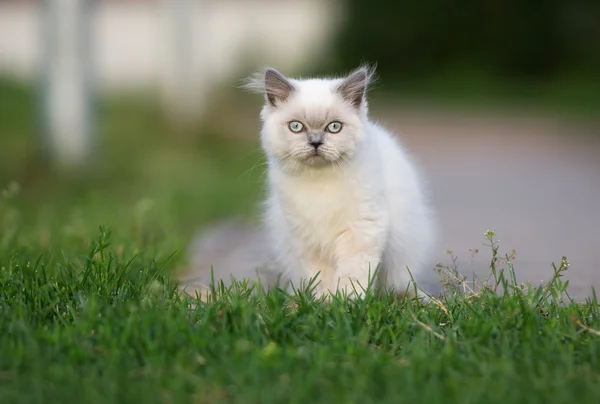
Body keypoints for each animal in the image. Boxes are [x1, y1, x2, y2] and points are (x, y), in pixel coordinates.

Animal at [246, 66, 438, 298]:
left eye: (334, 127)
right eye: (296, 127)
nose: (315, 142)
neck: (319, 183)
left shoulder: (361, 229)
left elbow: (353, 275)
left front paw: (348, 300)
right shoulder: (309, 237)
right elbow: (321, 277)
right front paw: (324, 301)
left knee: (396, 284)